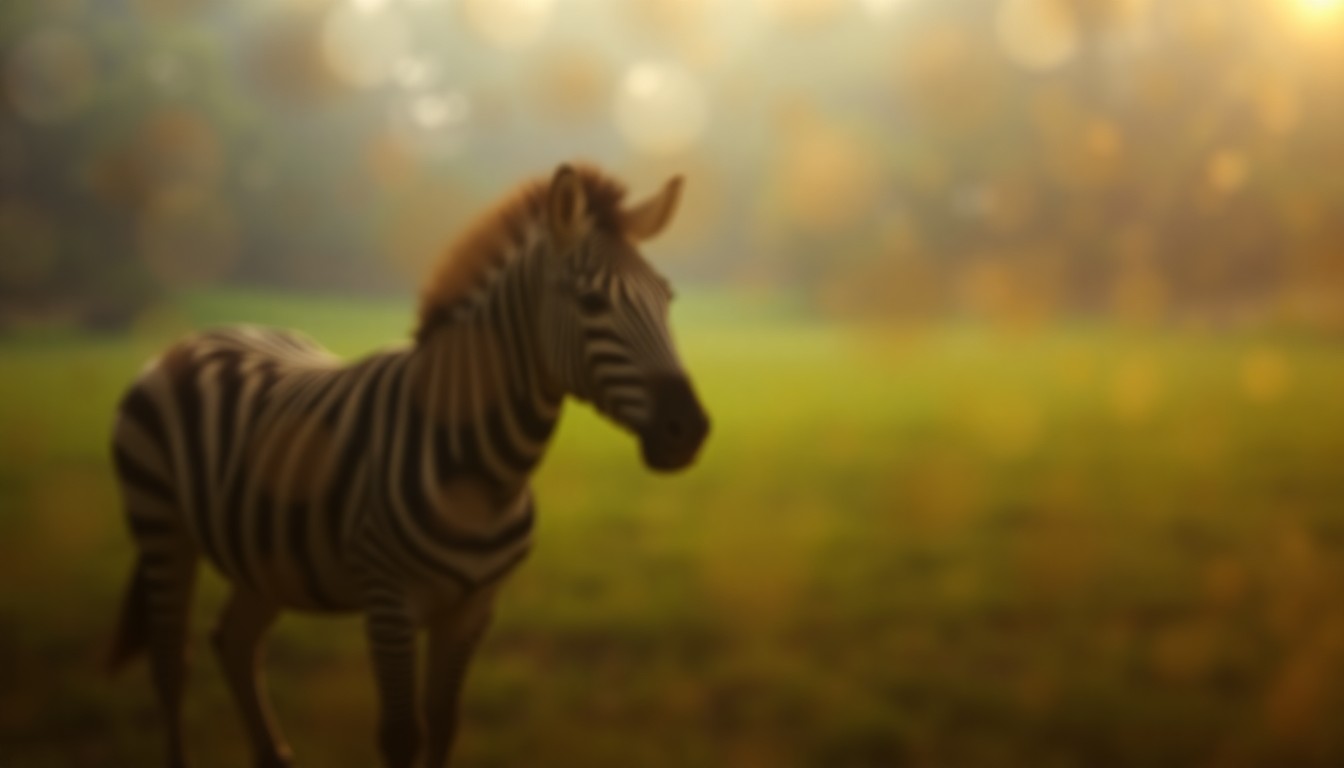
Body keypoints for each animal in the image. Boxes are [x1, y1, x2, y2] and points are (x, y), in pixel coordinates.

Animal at [107, 163, 710, 768]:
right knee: (171, 664)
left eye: (667, 297)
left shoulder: (473, 609)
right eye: (590, 302)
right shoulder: (389, 603)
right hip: (161, 524)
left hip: (264, 553)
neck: (486, 476)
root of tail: (205, 333)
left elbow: (443, 723)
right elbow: (402, 735)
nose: (690, 430)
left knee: (234, 642)